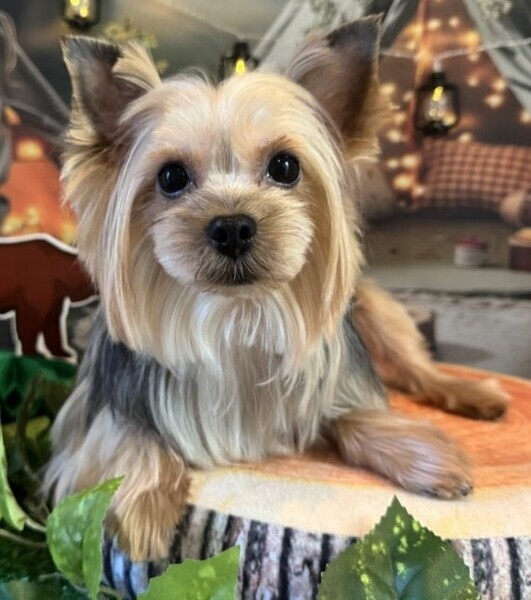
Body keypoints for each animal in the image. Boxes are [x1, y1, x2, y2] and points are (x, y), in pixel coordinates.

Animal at [44, 17, 509, 563]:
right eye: (171, 176)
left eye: (285, 166)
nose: (232, 226)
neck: (236, 315)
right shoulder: (91, 418)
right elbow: (129, 435)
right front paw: (141, 504)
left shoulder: (335, 382)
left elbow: (356, 415)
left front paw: (425, 456)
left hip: (371, 310)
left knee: (417, 369)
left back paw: (471, 393)